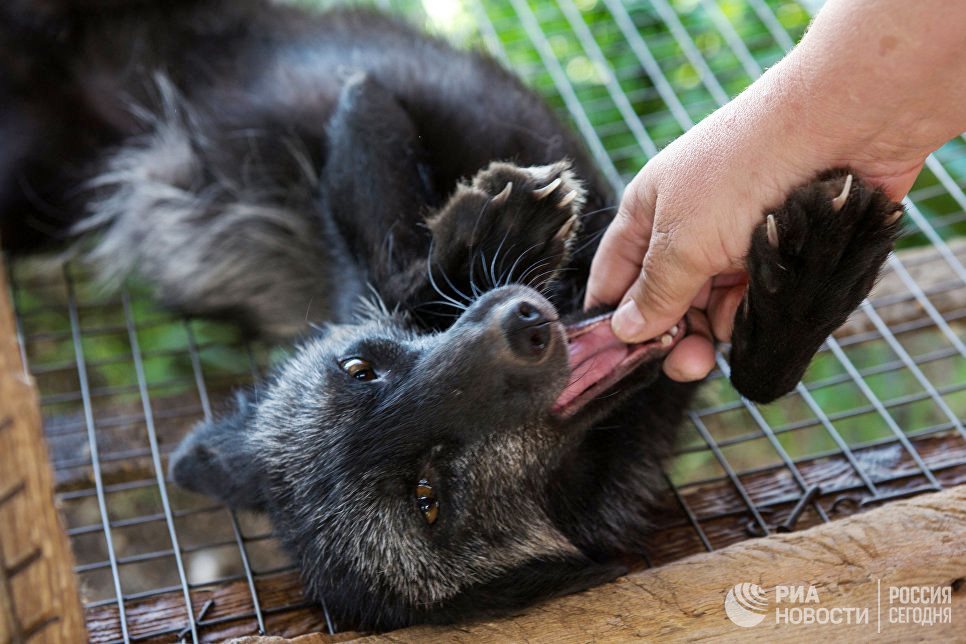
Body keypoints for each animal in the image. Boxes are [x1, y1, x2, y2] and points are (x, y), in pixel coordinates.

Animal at [1, 0, 908, 628]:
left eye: (360, 369)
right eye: (429, 496)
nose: (524, 325)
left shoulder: (363, 123)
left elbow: (386, 211)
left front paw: (485, 233)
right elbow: (760, 379)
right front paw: (820, 269)